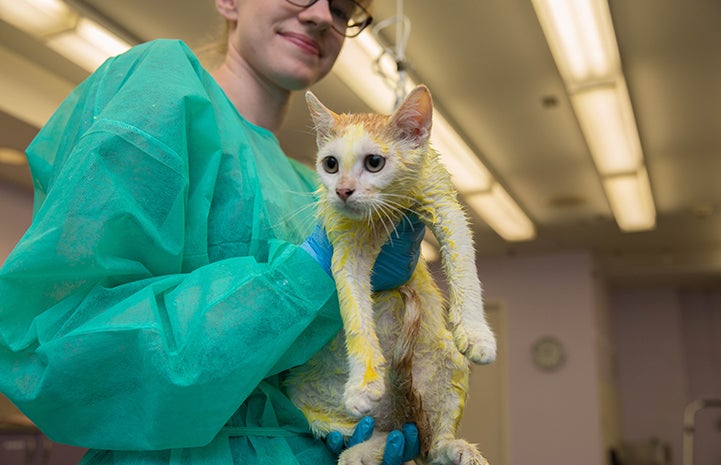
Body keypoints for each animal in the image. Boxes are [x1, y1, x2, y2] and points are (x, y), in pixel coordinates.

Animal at [286, 84, 496, 464]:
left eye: (374, 163)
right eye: (330, 164)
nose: (342, 190)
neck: (386, 214)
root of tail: (397, 410)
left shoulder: (443, 203)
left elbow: (465, 267)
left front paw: (476, 334)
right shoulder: (345, 249)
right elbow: (354, 310)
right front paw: (363, 382)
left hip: (448, 360)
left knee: (431, 446)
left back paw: (455, 448)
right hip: (308, 403)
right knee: (389, 434)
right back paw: (361, 450)